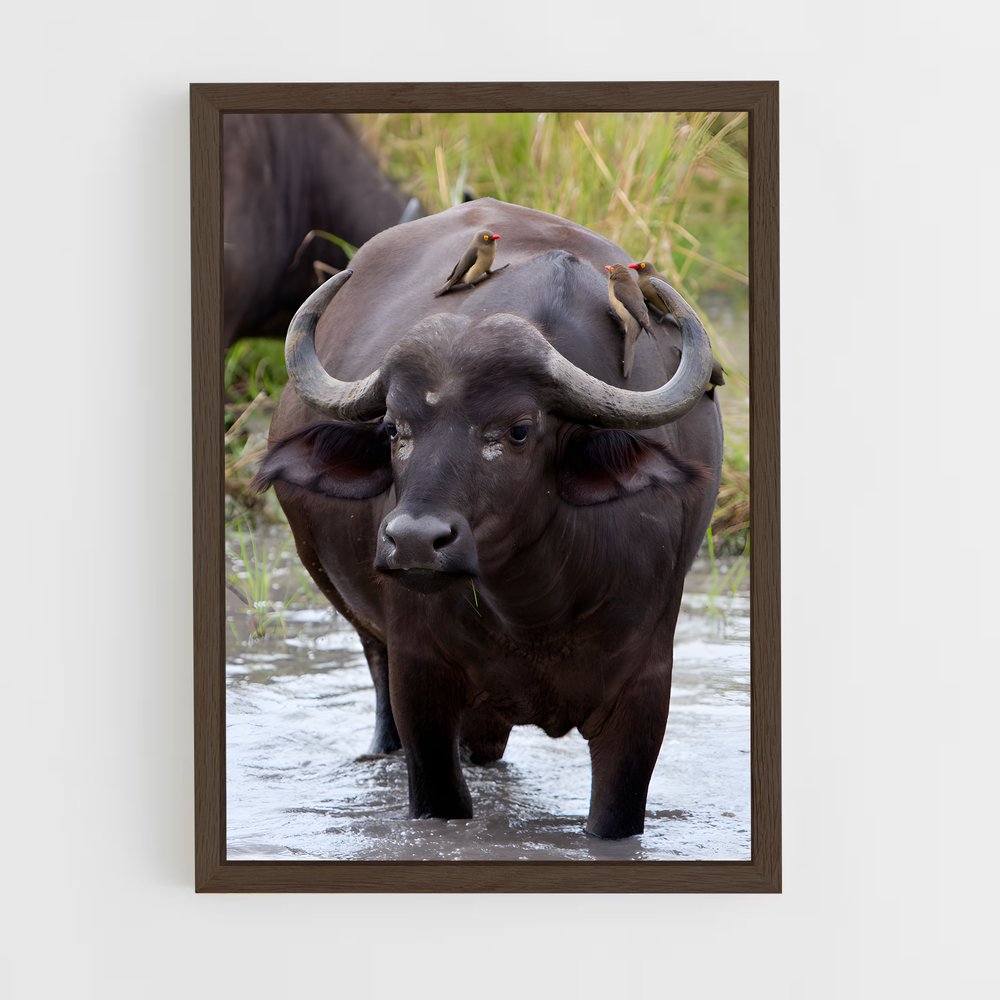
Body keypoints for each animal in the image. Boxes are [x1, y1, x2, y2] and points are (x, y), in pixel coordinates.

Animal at [253, 199, 722, 839]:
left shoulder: (645, 695)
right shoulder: (421, 682)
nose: (414, 542)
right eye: (394, 429)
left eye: (519, 429)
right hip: (371, 638)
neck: (536, 607)